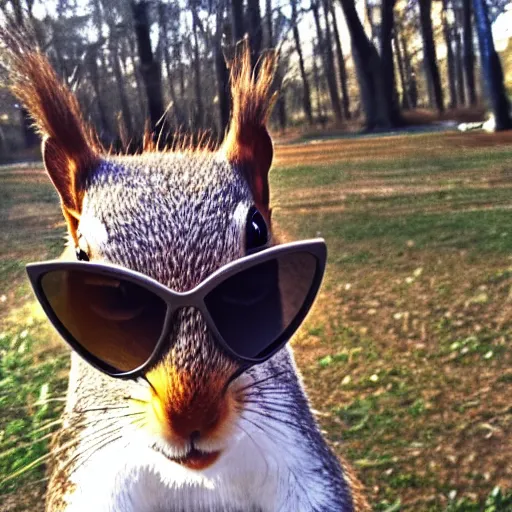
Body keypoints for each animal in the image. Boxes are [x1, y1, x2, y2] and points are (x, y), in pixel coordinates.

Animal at [3, 31, 368, 508]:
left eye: (258, 232)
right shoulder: (87, 481)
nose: (191, 413)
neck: (196, 480)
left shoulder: (308, 470)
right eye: (81, 255)